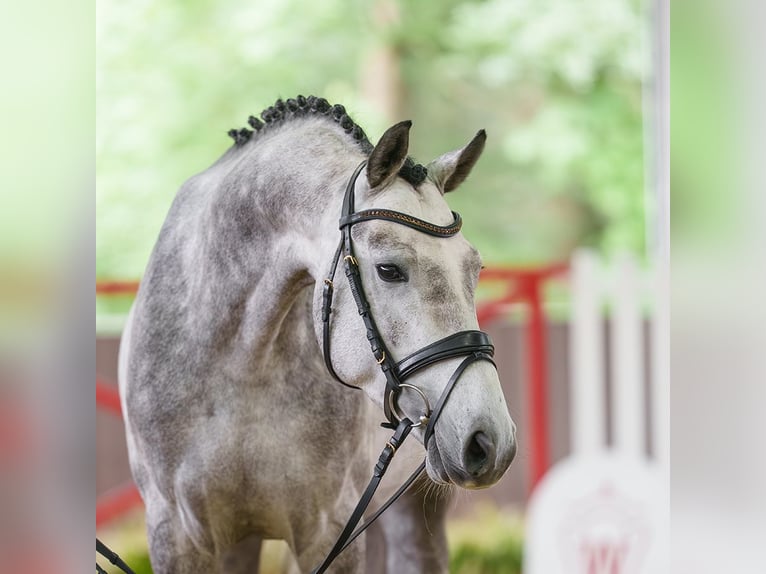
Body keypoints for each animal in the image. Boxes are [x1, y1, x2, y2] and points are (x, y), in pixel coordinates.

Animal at [118, 95, 517, 573]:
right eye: (388, 269)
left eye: (475, 269)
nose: (489, 440)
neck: (238, 367)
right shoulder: (177, 535)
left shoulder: (327, 530)